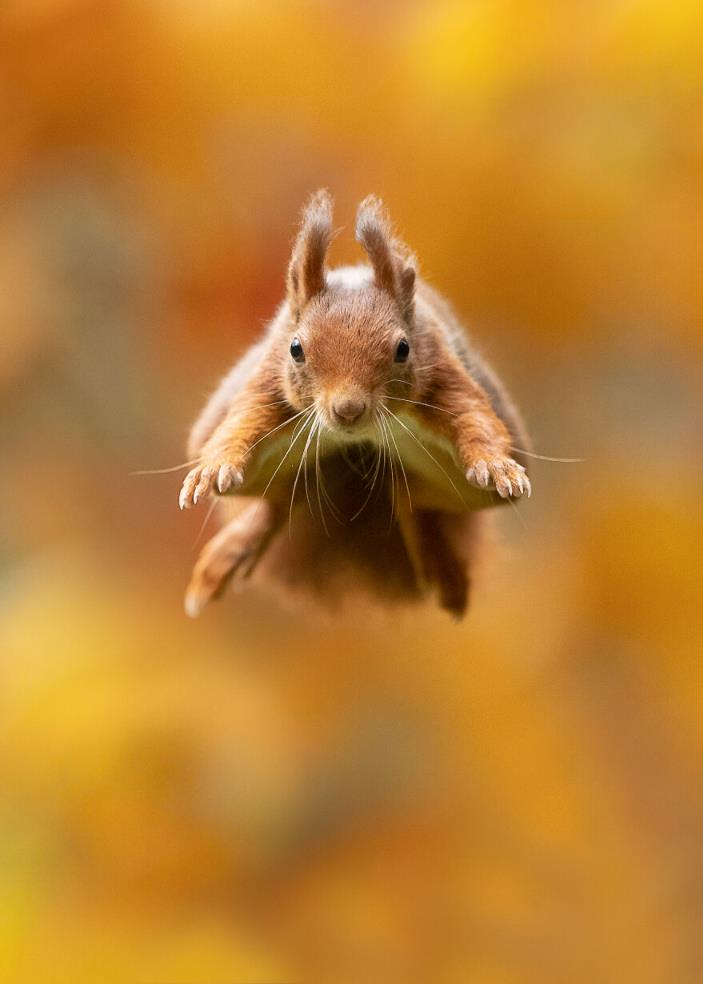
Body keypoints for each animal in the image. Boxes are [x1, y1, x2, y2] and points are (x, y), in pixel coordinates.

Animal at [179, 192, 532, 620]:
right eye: (295, 348)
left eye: (403, 348)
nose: (348, 409)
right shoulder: (268, 382)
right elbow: (242, 423)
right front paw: (216, 467)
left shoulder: (443, 372)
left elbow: (475, 420)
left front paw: (494, 465)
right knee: (280, 503)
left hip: (463, 492)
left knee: (410, 502)